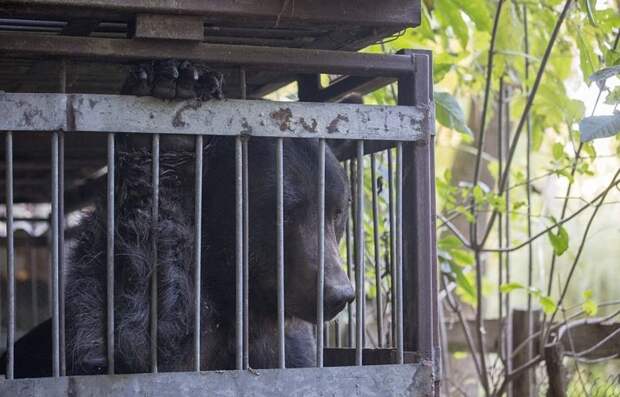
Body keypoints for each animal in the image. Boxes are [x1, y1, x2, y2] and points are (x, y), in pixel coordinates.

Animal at [2, 60, 356, 376]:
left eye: (337, 212)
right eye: (282, 211)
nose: (337, 294)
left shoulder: (290, 346)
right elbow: (125, 338)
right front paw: (167, 108)